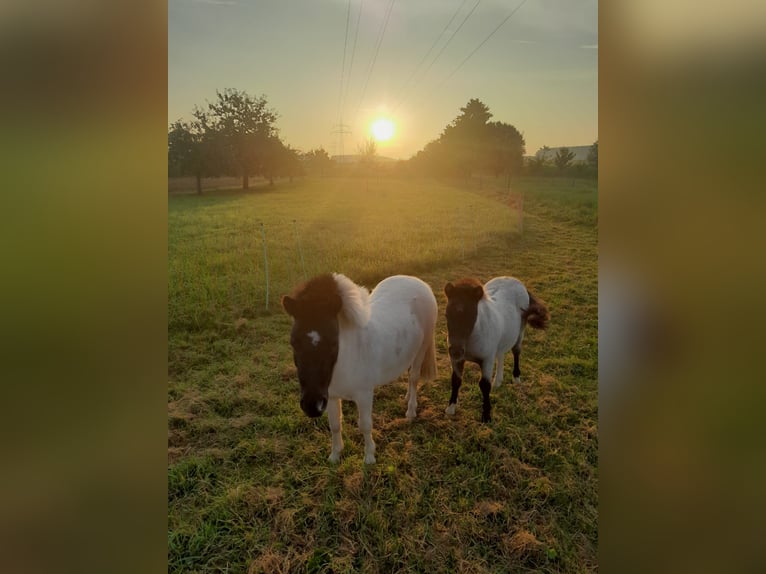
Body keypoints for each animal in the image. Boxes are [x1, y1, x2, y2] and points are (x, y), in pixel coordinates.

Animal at [282, 272, 438, 466]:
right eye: (293, 342)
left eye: (333, 342)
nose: (311, 406)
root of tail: (417, 281)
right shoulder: (331, 396)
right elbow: (335, 424)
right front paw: (335, 455)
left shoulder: (364, 395)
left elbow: (364, 425)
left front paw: (369, 457)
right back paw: (407, 396)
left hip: (422, 348)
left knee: (414, 376)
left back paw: (410, 411)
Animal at [444, 276, 552, 426]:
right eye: (446, 315)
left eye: (471, 315)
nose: (455, 351)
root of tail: (517, 281)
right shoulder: (457, 361)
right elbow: (456, 380)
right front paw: (451, 408)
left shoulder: (487, 360)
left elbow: (484, 385)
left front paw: (486, 416)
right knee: (501, 353)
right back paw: (498, 381)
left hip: (520, 332)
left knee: (516, 352)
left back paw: (516, 378)